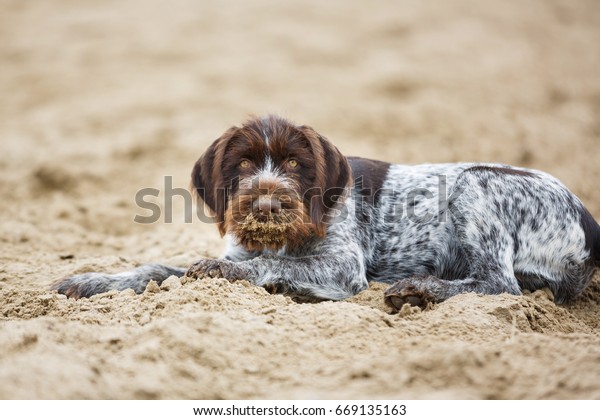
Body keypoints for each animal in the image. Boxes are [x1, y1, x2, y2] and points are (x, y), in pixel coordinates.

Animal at [51, 114, 600, 308]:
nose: (267, 201)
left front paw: (253, 276)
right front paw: (94, 281)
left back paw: (420, 289)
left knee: (499, 285)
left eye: (296, 163)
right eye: (243, 164)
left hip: (473, 184)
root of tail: (591, 225)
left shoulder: (342, 263)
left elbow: (260, 266)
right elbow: (159, 269)